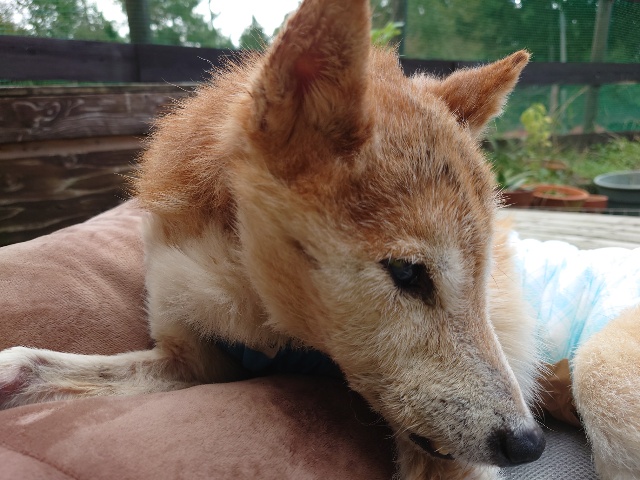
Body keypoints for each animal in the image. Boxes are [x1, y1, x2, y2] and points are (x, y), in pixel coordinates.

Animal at [0, 0, 546, 478]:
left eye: (480, 274)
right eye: (408, 273)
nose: (529, 443)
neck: (265, 318)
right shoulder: (190, 357)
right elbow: (31, 362)